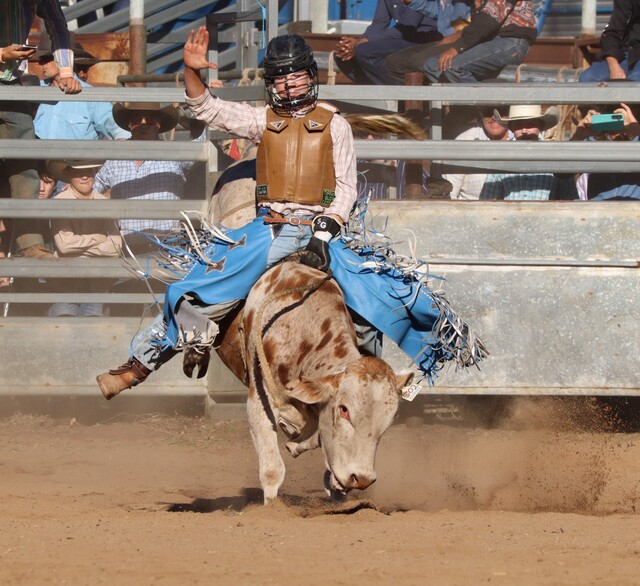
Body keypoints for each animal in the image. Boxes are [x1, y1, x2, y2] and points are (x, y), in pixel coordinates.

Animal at [210, 261, 413, 503]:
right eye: (344, 409)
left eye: (389, 420)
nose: (361, 478)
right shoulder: (259, 400)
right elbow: (272, 470)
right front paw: (272, 507)